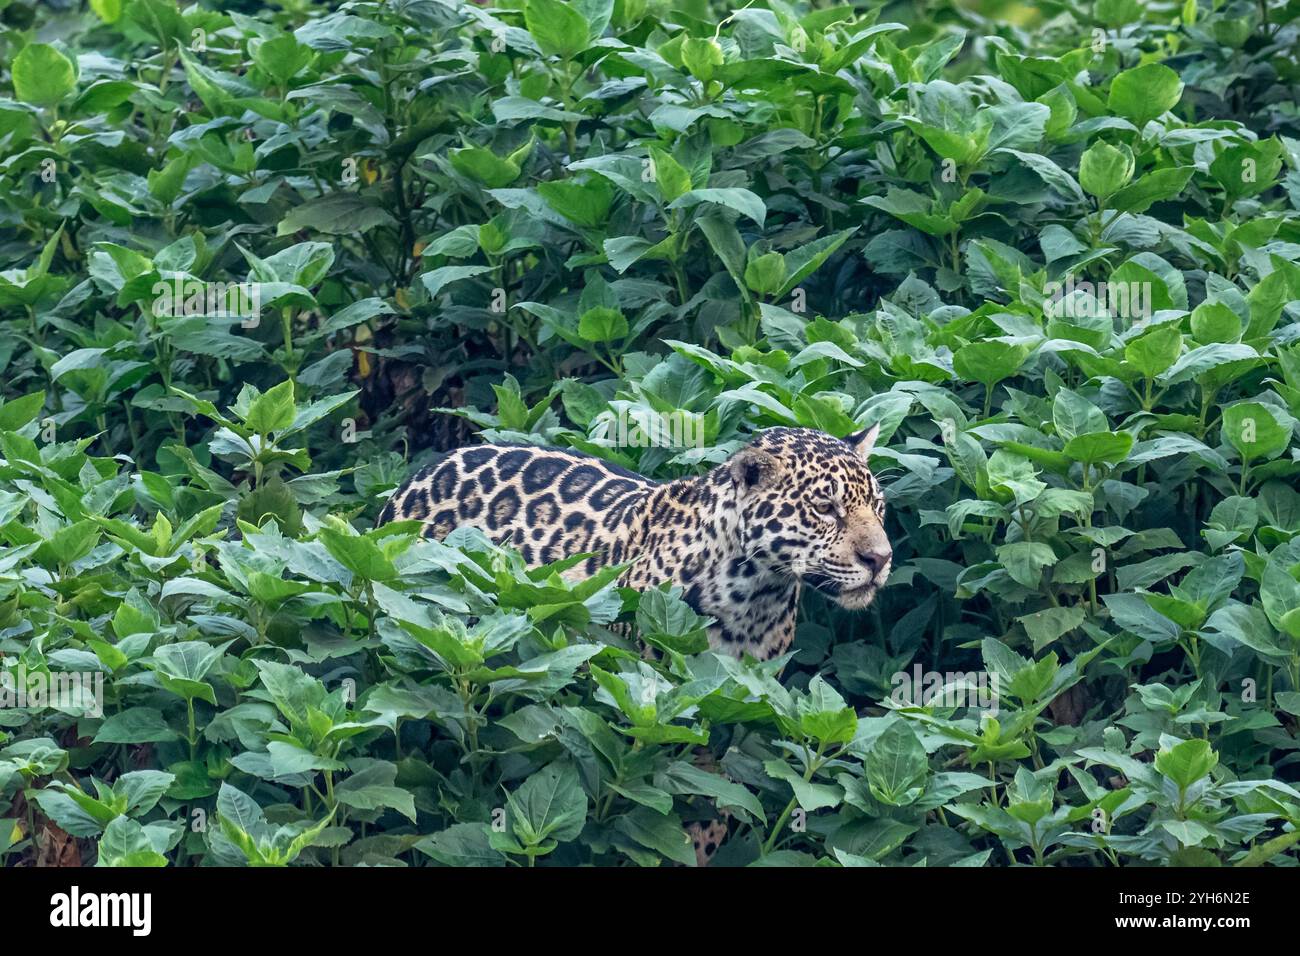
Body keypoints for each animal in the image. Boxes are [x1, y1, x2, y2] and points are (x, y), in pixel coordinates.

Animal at [378, 425, 893, 864]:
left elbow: (717, 799)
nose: (881, 558)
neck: (755, 592)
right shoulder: (648, 694)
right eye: (824, 508)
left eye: (878, 507)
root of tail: (417, 475)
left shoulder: (740, 709)